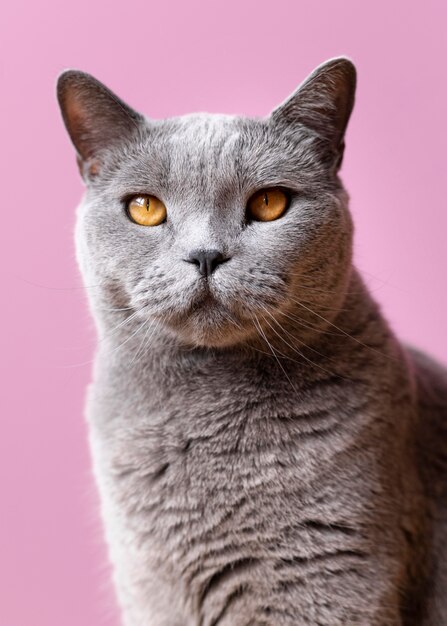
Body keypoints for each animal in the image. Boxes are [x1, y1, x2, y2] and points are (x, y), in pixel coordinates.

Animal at [57, 56, 447, 620]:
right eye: (145, 208)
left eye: (269, 203)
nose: (205, 255)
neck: (199, 413)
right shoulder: (149, 593)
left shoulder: (325, 577)